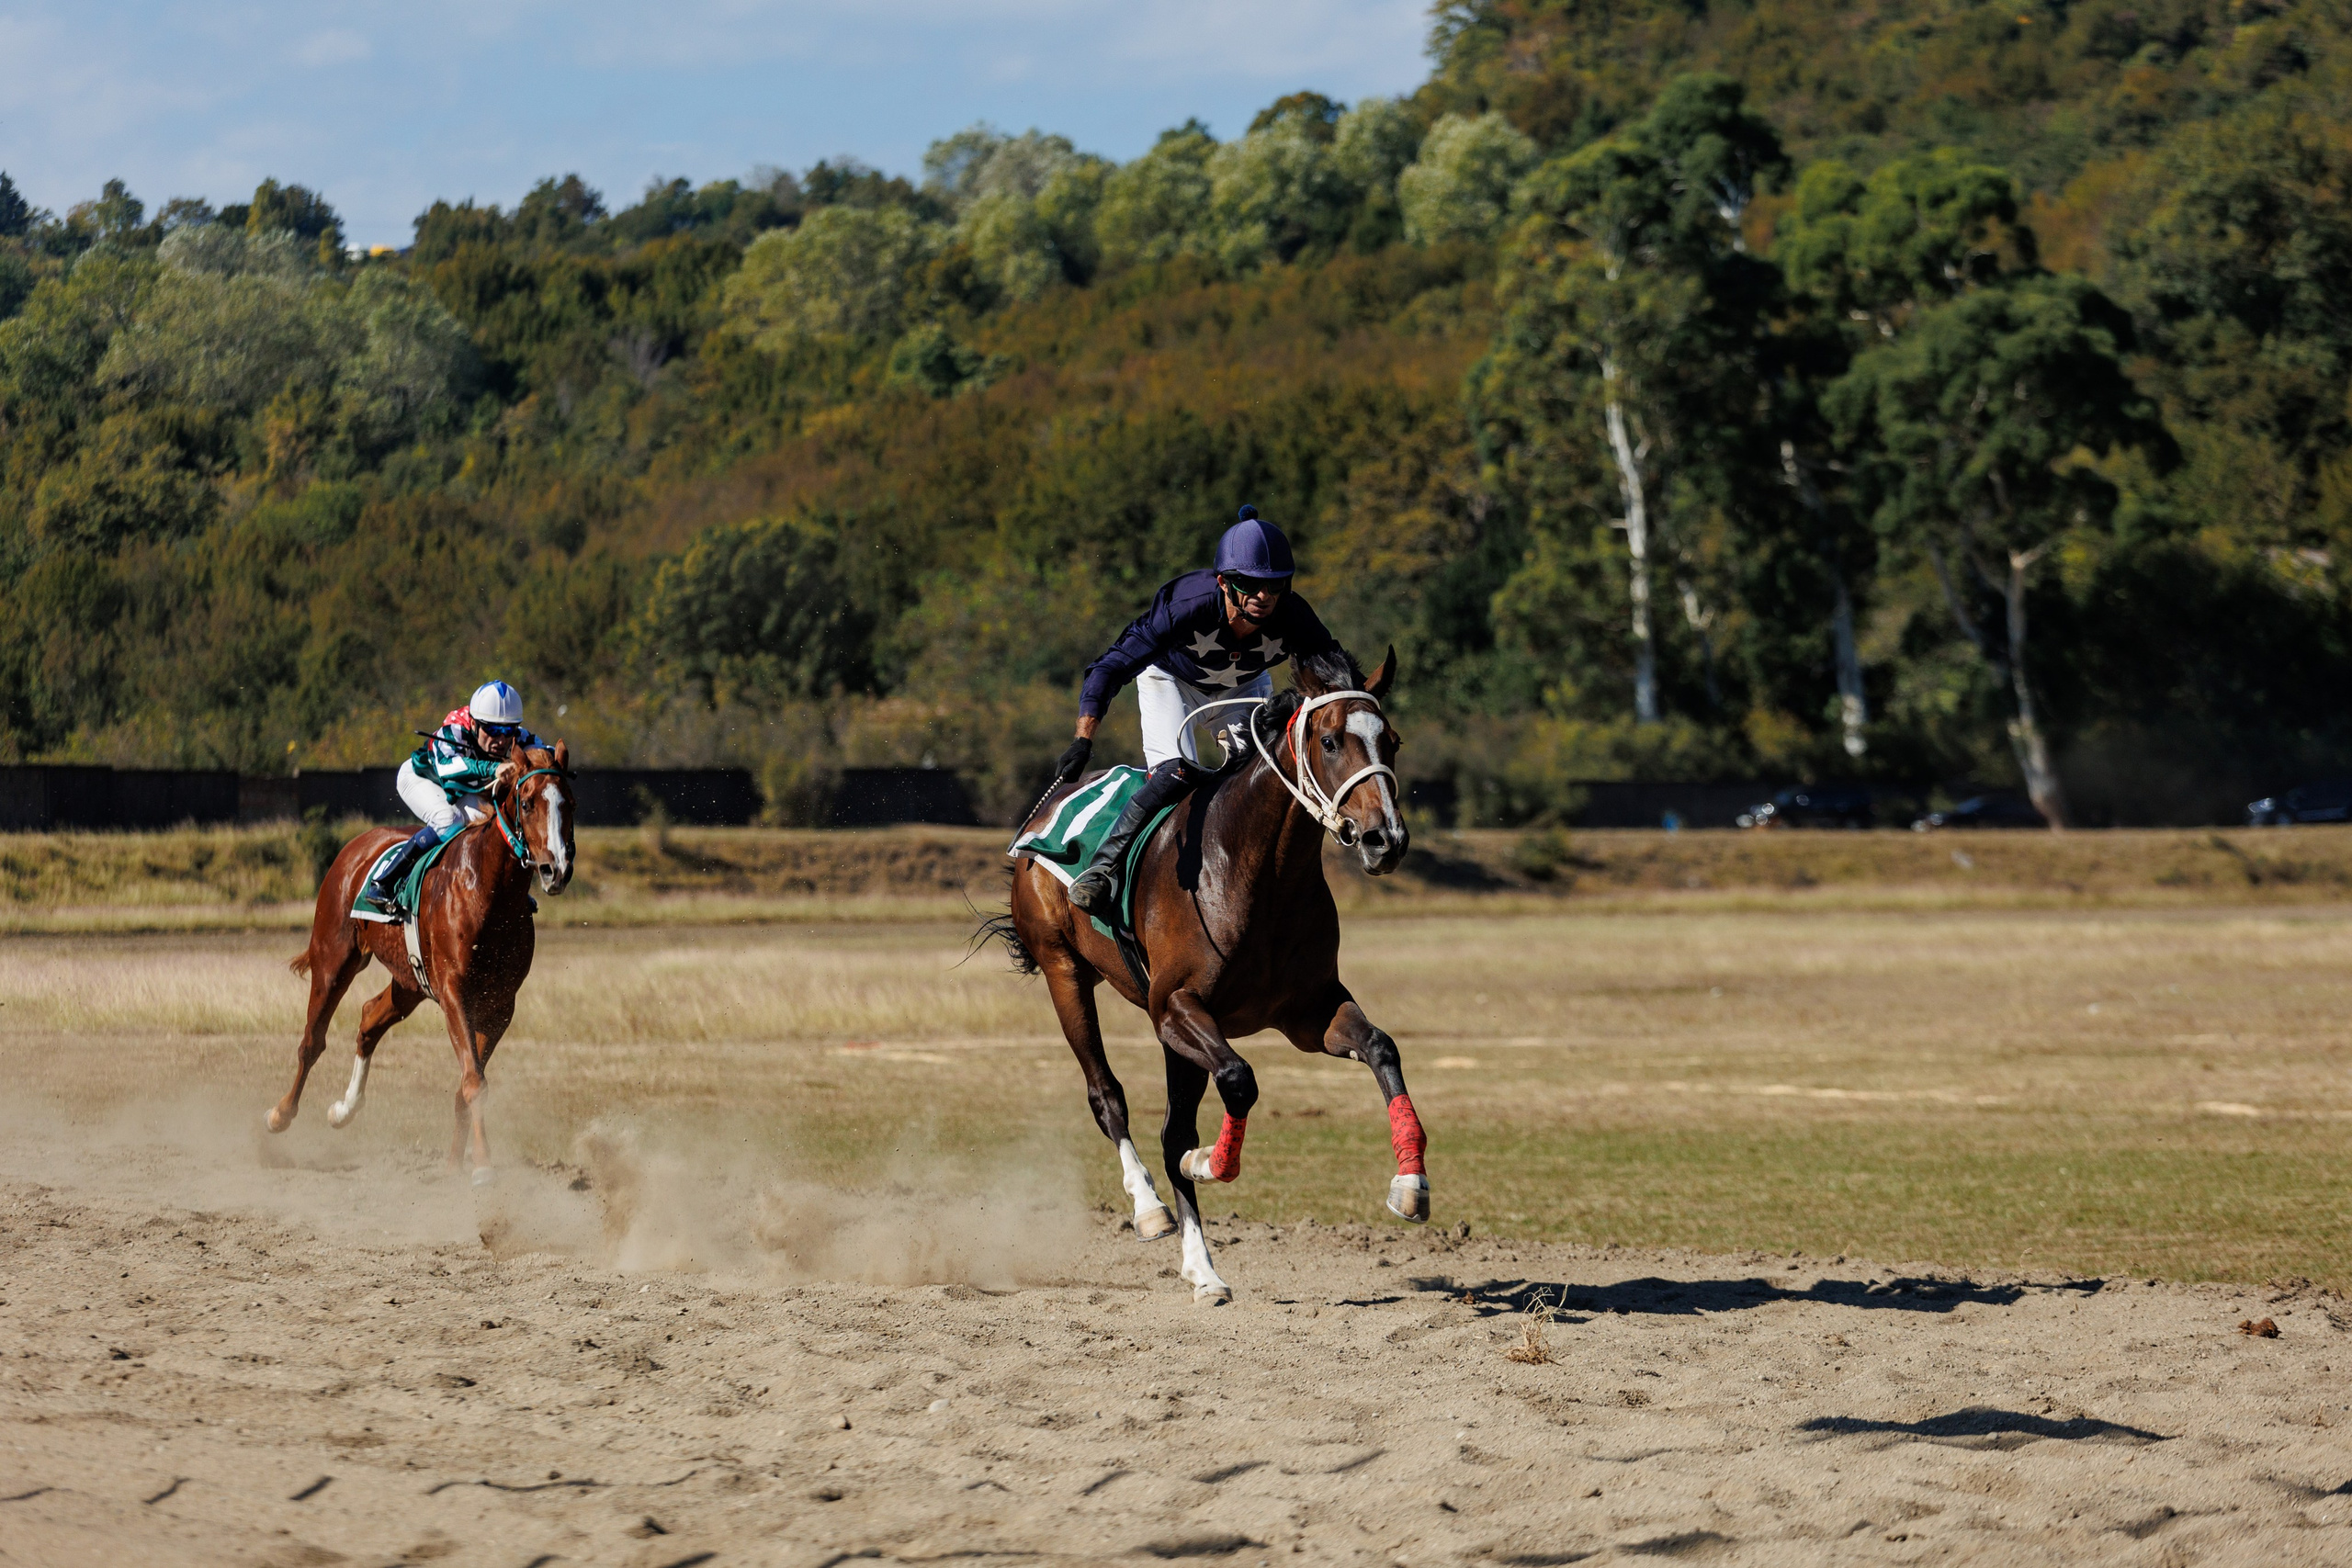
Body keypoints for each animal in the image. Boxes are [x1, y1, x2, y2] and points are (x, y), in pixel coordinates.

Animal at [265, 743, 576, 1181]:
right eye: (528, 802)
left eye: (570, 803)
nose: (557, 869)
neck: (489, 890)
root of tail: (356, 846)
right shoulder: (454, 990)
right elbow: (474, 1081)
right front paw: (483, 1165)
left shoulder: (501, 1004)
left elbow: (468, 1081)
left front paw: (454, 1165)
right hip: (334, 958)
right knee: (312, 1040)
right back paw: (281, 1114)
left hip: (408, 981)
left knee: (368, 1019)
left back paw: (343, 1110)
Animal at [983, 648, 1425, 1303]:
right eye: (1329, 740)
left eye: (1390, 741)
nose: (1384, 839)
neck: (1257, 870)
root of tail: (1048, 811)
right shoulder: (1175, 1007)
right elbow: (1238, 1082)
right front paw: (1209, 1162)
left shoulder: (1307, 1012)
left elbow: (1380, 1047)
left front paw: (1411, 1185)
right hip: (1066, 974)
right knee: (1108, 1096)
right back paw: (1152, 1213)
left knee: (1171, 1126)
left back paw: (1202, 1269)